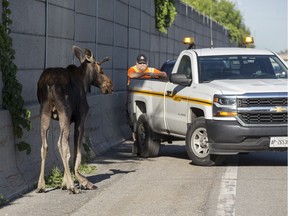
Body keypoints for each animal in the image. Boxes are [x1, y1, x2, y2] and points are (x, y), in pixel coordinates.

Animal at [35, 46, 112, 194]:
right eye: (101, 69)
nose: (110, 85)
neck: (85, 81)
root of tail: (49, 84)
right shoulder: (81, 117)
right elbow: (77, 150)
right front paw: (78, 181)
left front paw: (64, 182)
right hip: (64, 110)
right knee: (61, 144)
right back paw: (72, 185)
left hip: (44, 111)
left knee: (44, 145)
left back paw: (41, 185)